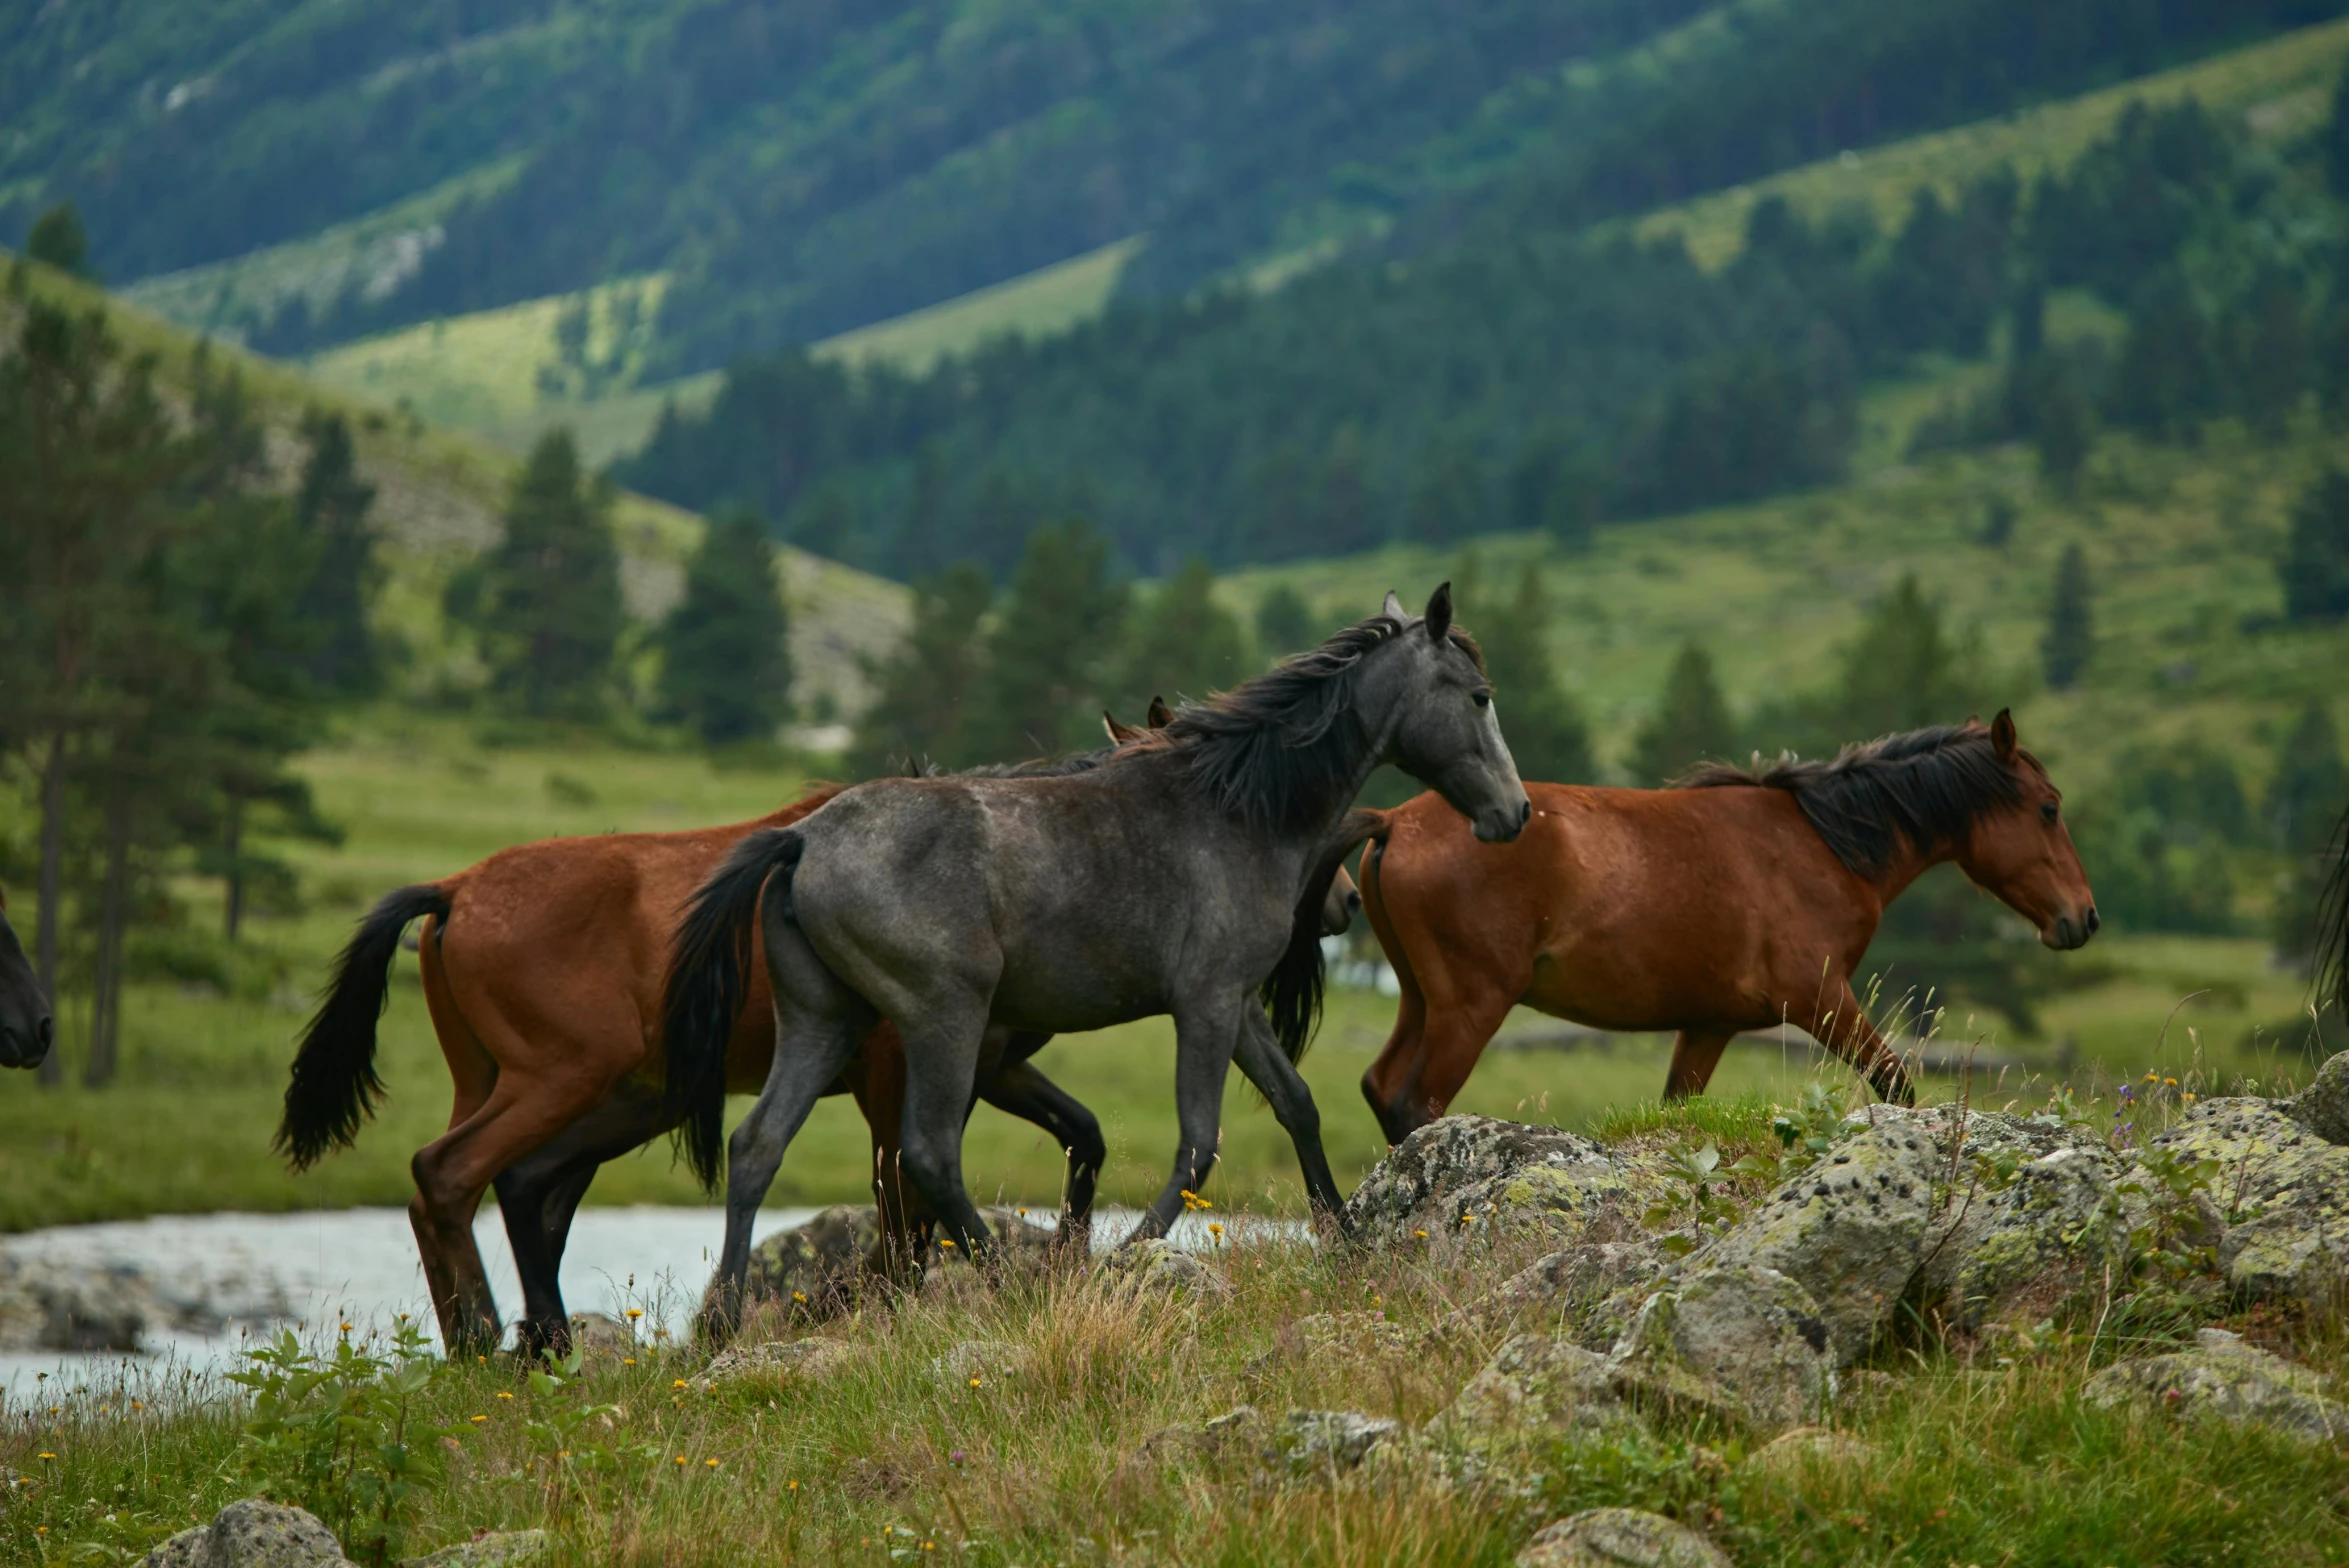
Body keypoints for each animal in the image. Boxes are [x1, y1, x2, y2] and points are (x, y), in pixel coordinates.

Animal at [662, 586, 1522, 1333]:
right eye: (1479, 694)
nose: (1513, 813)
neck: (1237, 810)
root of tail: (801, 838)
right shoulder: (1205, 1003)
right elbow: (1198, 1144)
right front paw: (1121, 1259)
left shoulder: (1237, 1002)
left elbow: (1296, 1106)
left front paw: (1346, 1243)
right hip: (943, 1018)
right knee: (929, 1154)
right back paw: (1007, 1284)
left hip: (823, 1019)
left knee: (758, 1147)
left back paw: (723, 1323)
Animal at [1353, 708, 2104, 1140]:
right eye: (2047, 808)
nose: (2084, 918)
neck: (1822, 843)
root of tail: (1394, 821)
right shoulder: (1820, 1000)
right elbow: (1896, 1082)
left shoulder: (1707, 1026)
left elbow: (1677, 1110)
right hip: (1472, 1006)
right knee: (1414, 1104)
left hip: (1421, 1000)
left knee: (1382, 1089)